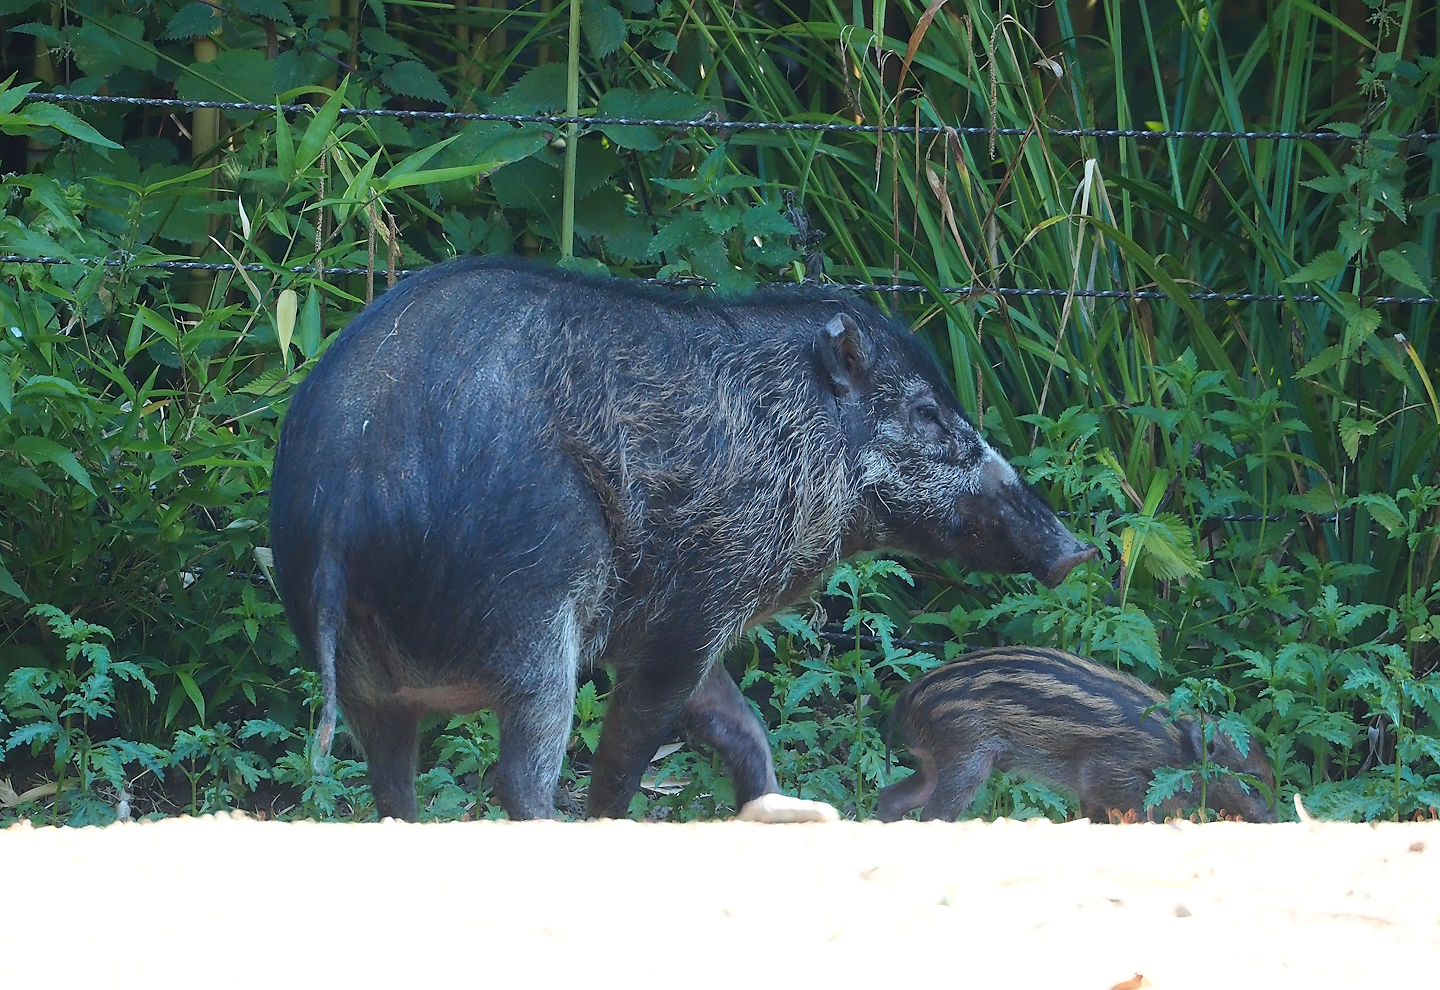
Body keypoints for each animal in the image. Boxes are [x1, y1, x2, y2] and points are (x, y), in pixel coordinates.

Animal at [268, 257, 1095, 822]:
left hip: (366, 680)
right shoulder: (698, 605)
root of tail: (341, 491)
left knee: (391, 784)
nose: (1076, 552)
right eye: (926, 413)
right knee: (520, 775)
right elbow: (631, 750)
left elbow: (740, 724)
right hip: (532, 620)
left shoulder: (675, 623)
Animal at [876, 646, 1276, 823]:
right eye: (1253, 785)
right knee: (933, 815)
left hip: (935, 761)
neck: (1175, 747)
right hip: (966, 758)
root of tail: (906, 698)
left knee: (891, 796)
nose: (1275, 821)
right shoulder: (1110, 777)